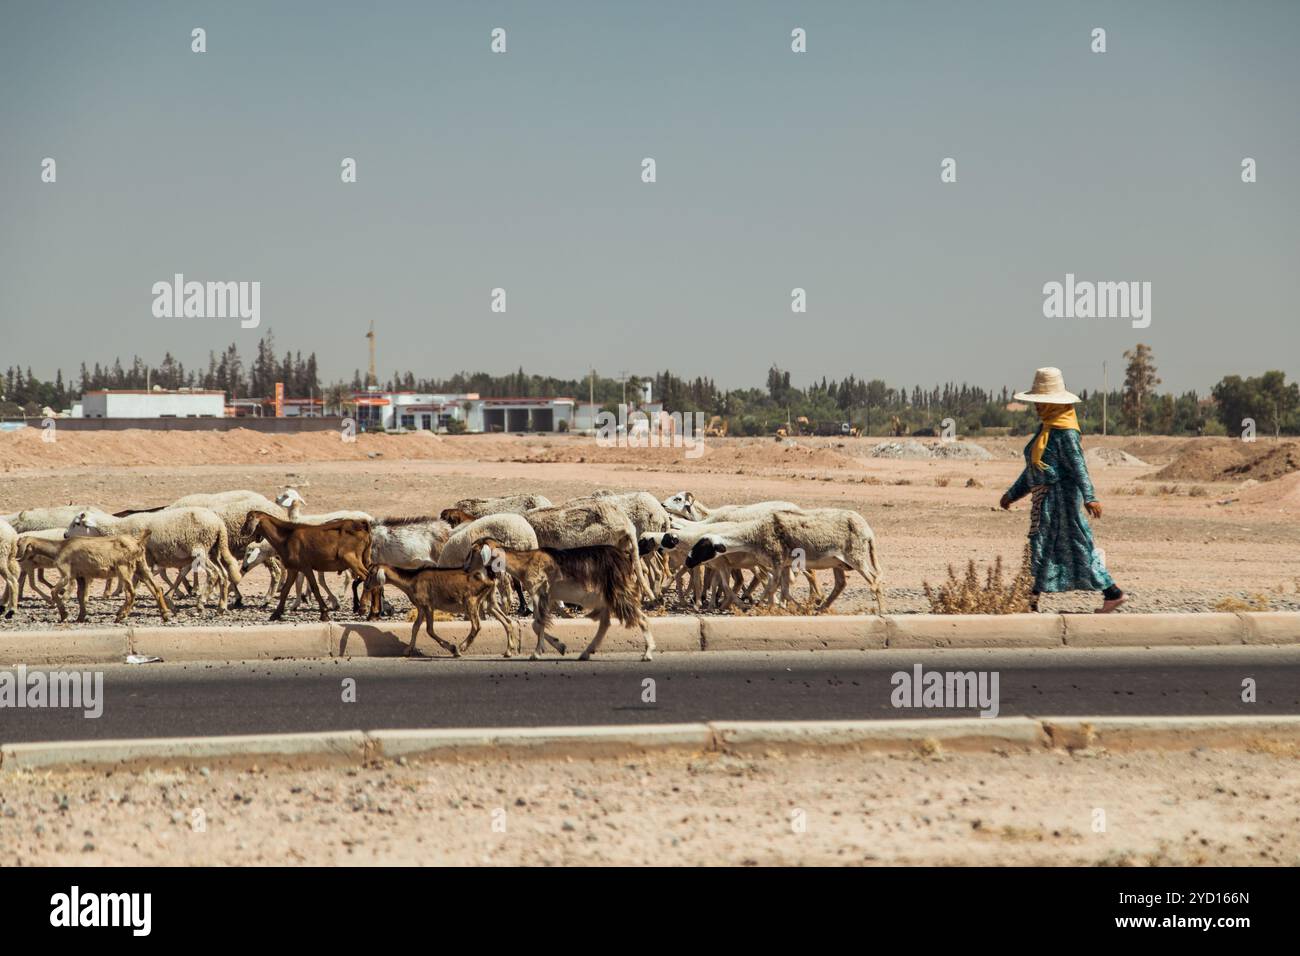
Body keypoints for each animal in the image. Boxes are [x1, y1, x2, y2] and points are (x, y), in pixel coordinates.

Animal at [243, 512, 371, 624]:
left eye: (248, 519)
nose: (242, 531)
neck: (287, 537)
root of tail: (362, 526)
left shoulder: (306, 567)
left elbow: (315, 587)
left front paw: (324, 613)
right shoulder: (293, 569)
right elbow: (285, 590)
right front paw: (275, 614)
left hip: (351, 559)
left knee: (367, 578)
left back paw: (365, 609)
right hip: (363, 559)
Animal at [366, 564, 517, 660]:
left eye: (371, 573)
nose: (366, 586)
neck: (411, 581)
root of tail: (490, 576)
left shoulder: (428, 606)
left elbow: (429, 630)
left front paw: (452, 648)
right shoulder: (421, 608)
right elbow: (415, 628)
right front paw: (408, 650)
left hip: (471, 600)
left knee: (477, 625)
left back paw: (462, 647)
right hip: (490, 600)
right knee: (507, 622)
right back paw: (508, 651)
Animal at [465, 538, 660, 665]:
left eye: (473, 551)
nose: (465, 568)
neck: (525, 563)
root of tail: (626, 559)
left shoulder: (540, 592)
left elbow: (539, 623)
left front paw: (536, 653)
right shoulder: (550, 597)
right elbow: (537, 624)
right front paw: (560, 646)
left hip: (619, 593)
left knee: (642, 618)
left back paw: (648, 653)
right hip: (606, 597)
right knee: (605, 624)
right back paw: (586, 653)